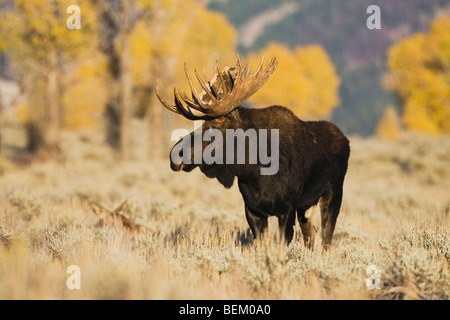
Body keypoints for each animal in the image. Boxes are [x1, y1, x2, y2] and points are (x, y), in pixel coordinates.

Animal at [156, 56, 350, 249]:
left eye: (213, 127)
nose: (176, 154)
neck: (253, 172)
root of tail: (345, 139)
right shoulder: (252, 210)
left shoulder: (287, 208)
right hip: (306, 206)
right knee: (311, 237)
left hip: (333, 193)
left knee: (326, 240)